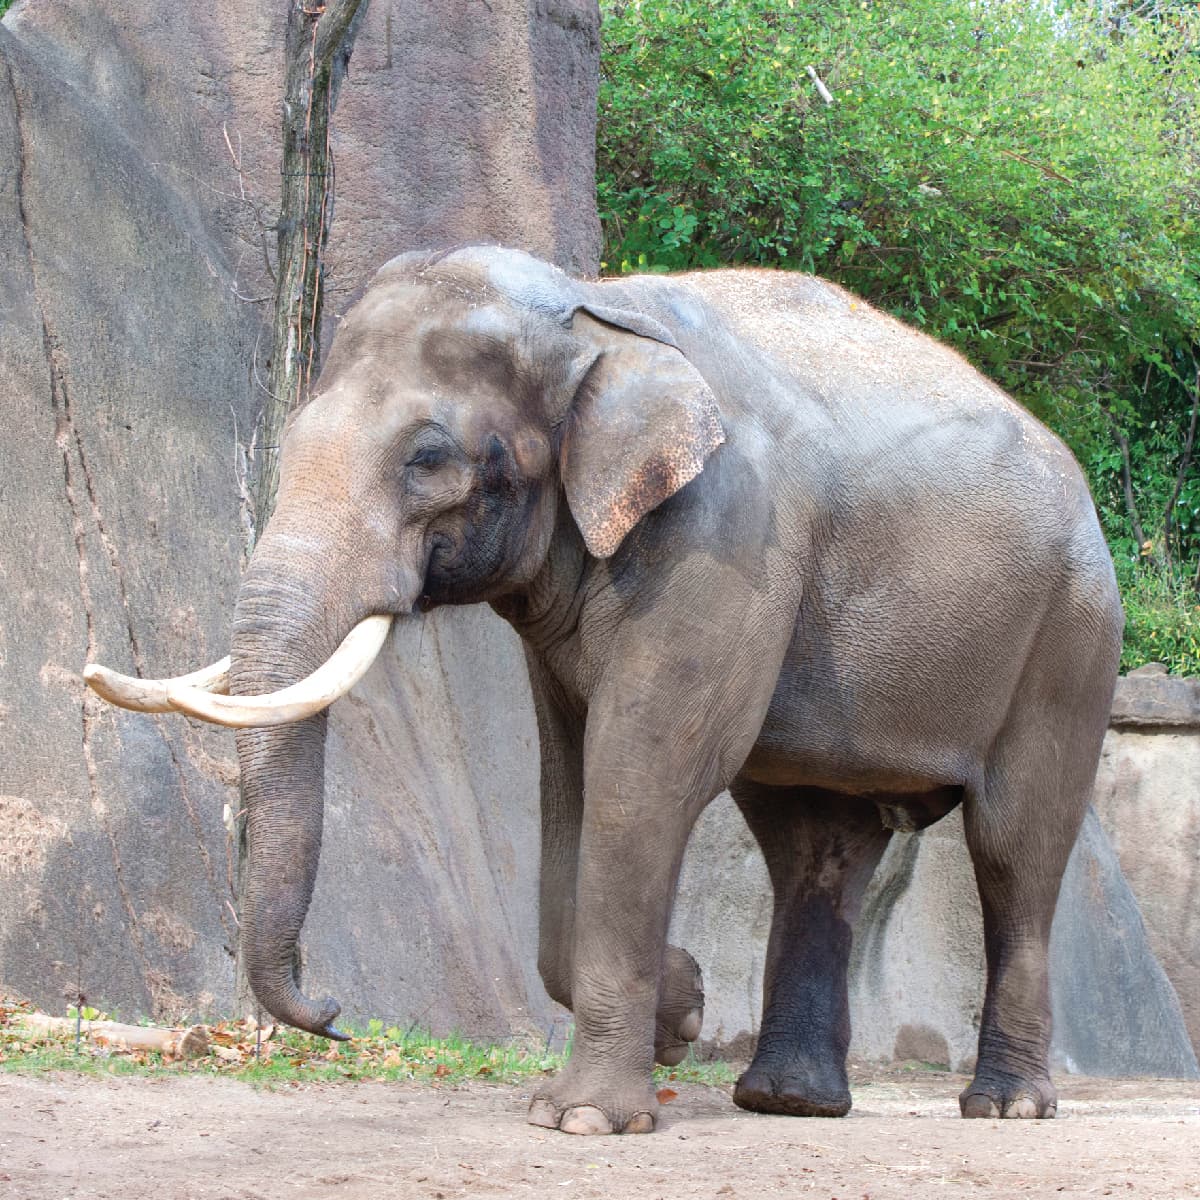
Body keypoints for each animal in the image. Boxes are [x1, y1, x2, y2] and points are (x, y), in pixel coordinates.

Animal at [86, 244, 1123, 1135]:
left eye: (428, 458)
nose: (335, 1009)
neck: (591, 309)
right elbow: (572, 778)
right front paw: (681, 1010)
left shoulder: (724, 536)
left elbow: (644, 771)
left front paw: (585, 1116)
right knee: (814, 845)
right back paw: (788, 1102)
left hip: (1072, 637)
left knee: (1015, 851)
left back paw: (1005, 1109)